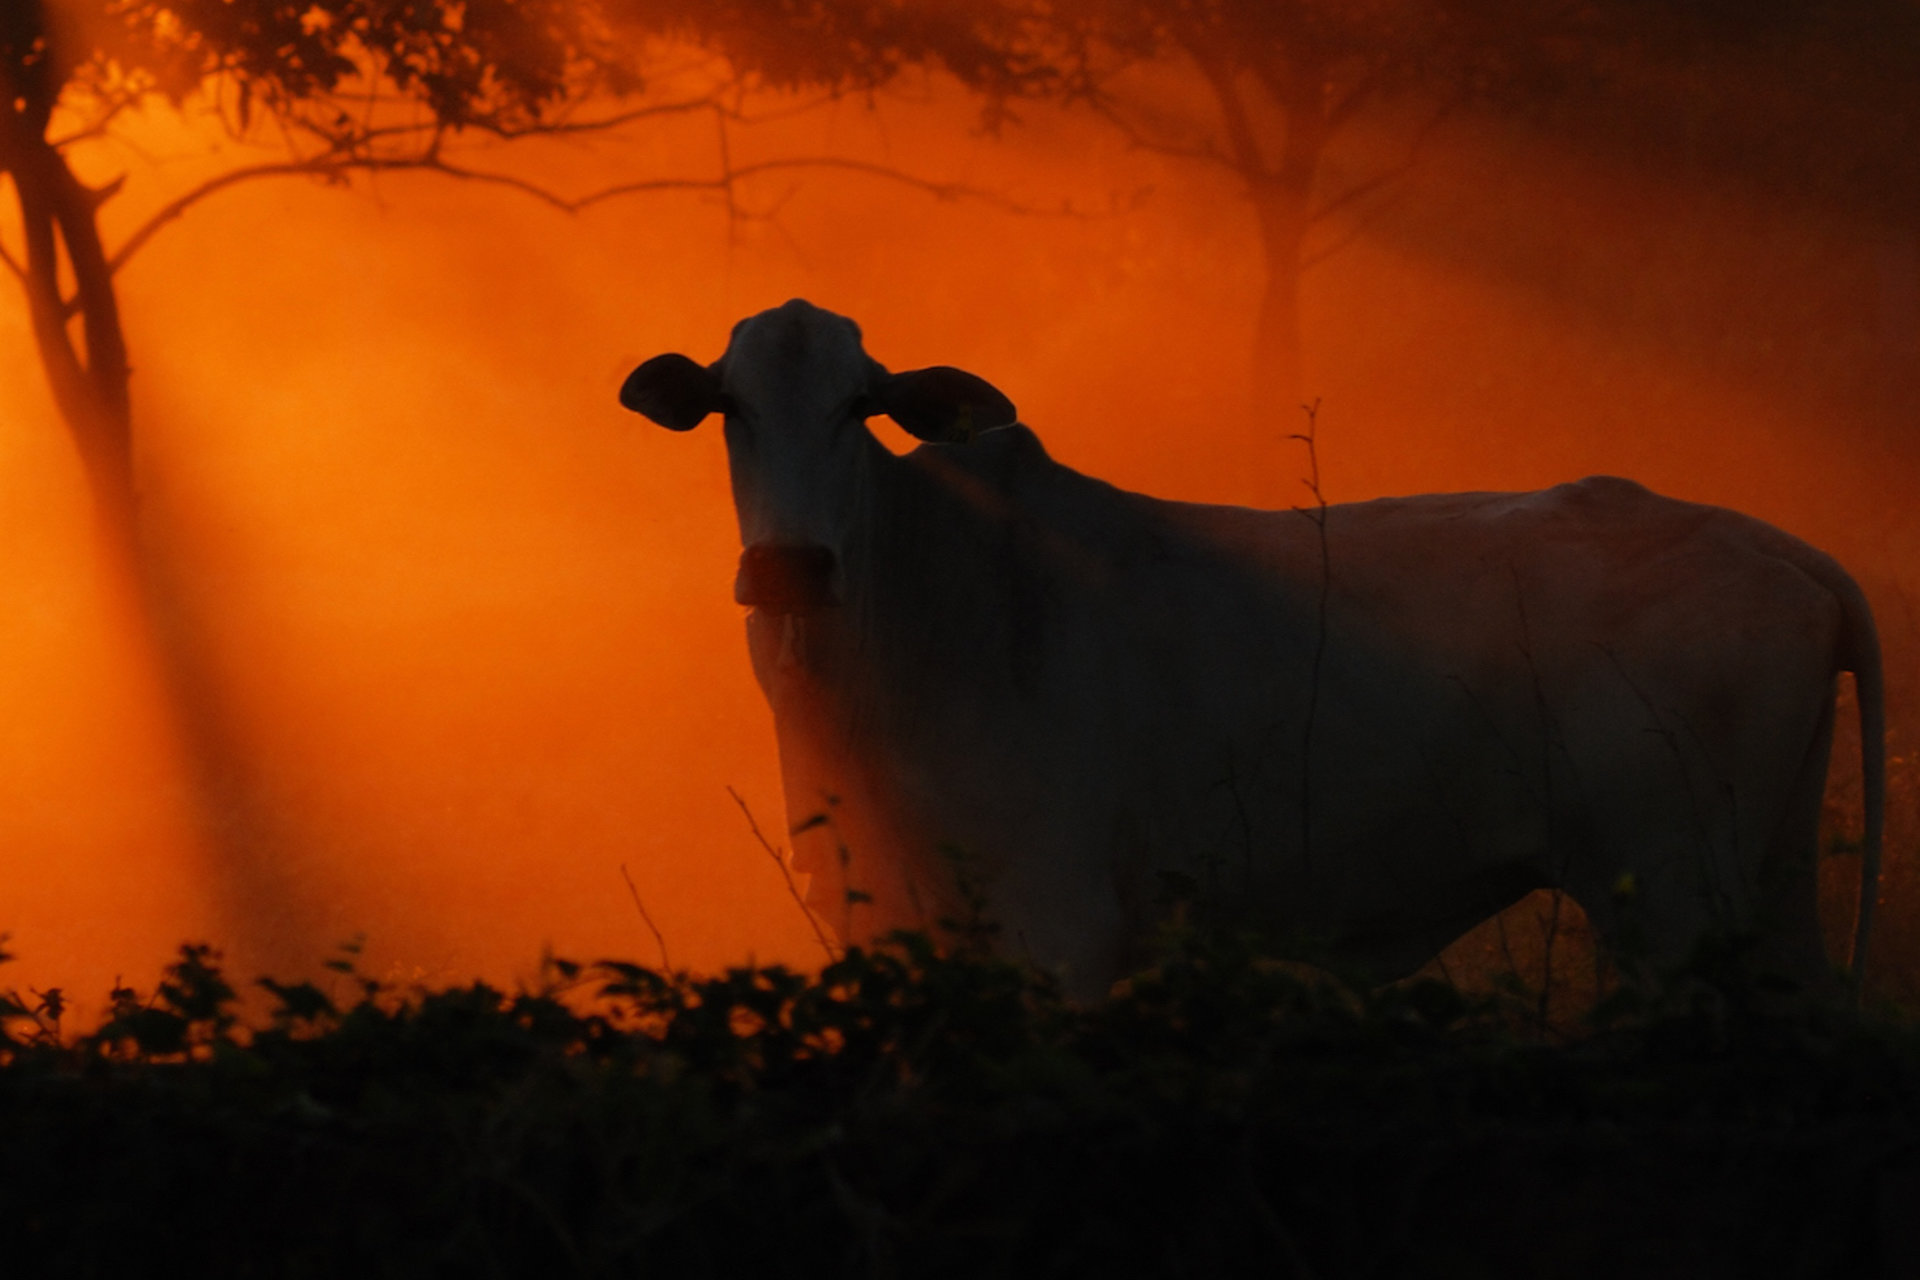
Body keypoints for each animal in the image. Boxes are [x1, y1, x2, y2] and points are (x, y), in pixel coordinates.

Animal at [620, 298, 1884, 1002]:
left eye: (859, 405)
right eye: (731, 405)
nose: (789, 567)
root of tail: (1785, 546)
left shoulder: (1056, 930)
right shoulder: (882, 925)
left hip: (1675, 900)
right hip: (1765, 884)